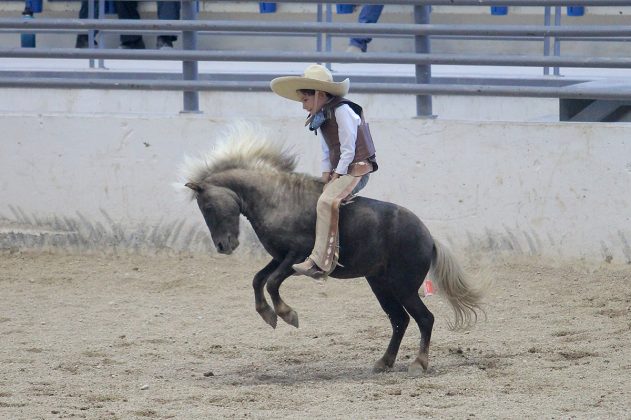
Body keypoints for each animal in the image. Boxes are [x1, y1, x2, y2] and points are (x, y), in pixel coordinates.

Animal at [185, 124, 486, 374]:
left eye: (208, 206)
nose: (223, 246)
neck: (279, 201)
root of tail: (428, 237)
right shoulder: (280, 257)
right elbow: (258, 279)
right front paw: (268, 314)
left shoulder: (297, 257)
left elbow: (271, 282)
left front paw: (287, 314)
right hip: (381, 285)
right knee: (399, 320)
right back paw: (384, 362)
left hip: (404, 288)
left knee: (425, 318)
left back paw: (419, 364)